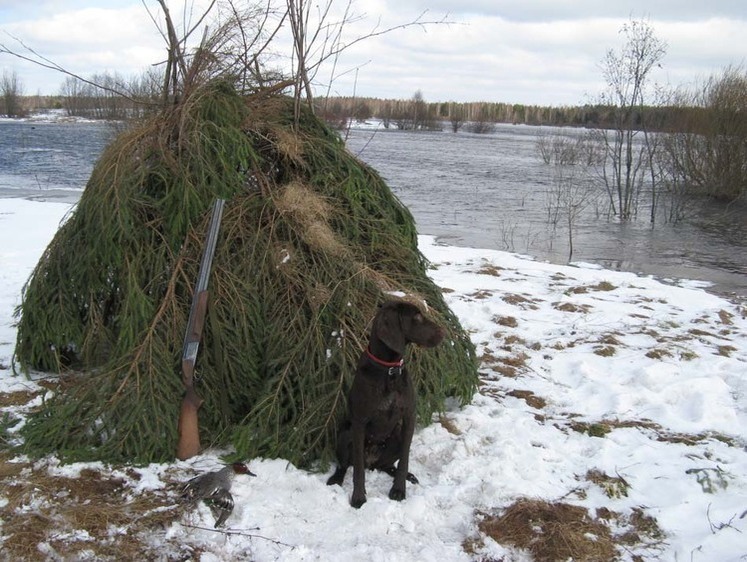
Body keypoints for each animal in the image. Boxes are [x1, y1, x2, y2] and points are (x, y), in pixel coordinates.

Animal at [328, 300, 444, 506]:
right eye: (417, 317)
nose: (443, 332)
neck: (389, 370)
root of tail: (372, 461)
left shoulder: (408, 417)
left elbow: (404, 459)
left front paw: (399, 490)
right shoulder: (359, 423)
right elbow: (357, 469)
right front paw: (359, 497)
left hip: (395, 436)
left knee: (387, 466)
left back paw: (407, 475)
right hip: (345, 434)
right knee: (345, 465)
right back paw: (336, 478)